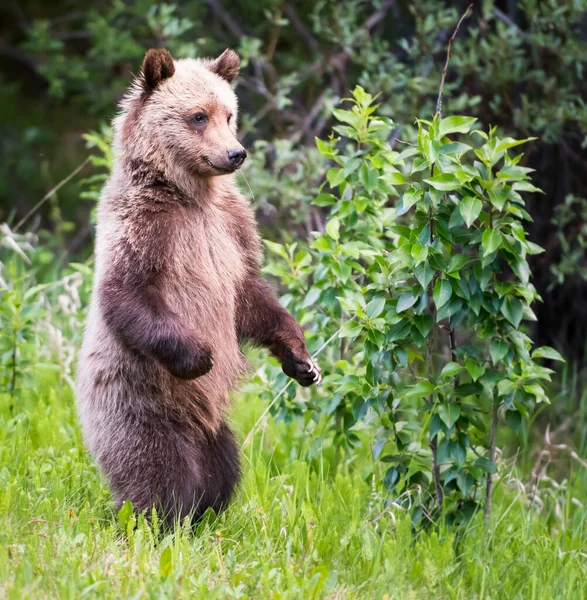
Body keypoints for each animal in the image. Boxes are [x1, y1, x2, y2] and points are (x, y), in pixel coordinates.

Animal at [77, 48, 322, 524]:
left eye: (229, 114)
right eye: (197, 116)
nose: (235, 153)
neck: (188, 194)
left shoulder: (232, 228)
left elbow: (250, 296)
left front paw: (301, 361)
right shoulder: (146, 225)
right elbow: (126, 293)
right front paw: (199, 356)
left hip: (212, 428)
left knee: (222, 465)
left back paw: (208, 512)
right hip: (137, 404)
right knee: (158, 469)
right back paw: (156, 517)